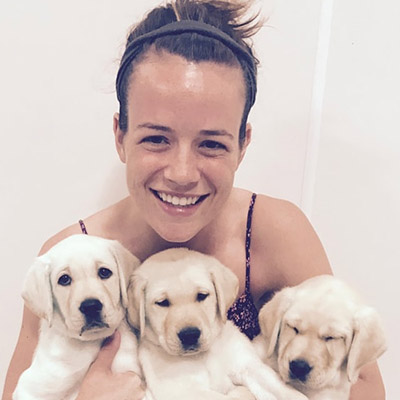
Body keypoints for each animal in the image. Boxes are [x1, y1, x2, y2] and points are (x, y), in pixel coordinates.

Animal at [127, 248, 306, 400]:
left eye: (202, 295)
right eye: (162, 302)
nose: (189, 335)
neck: (202, 356)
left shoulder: (248, 366)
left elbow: (284, 390)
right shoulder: (180, 390)